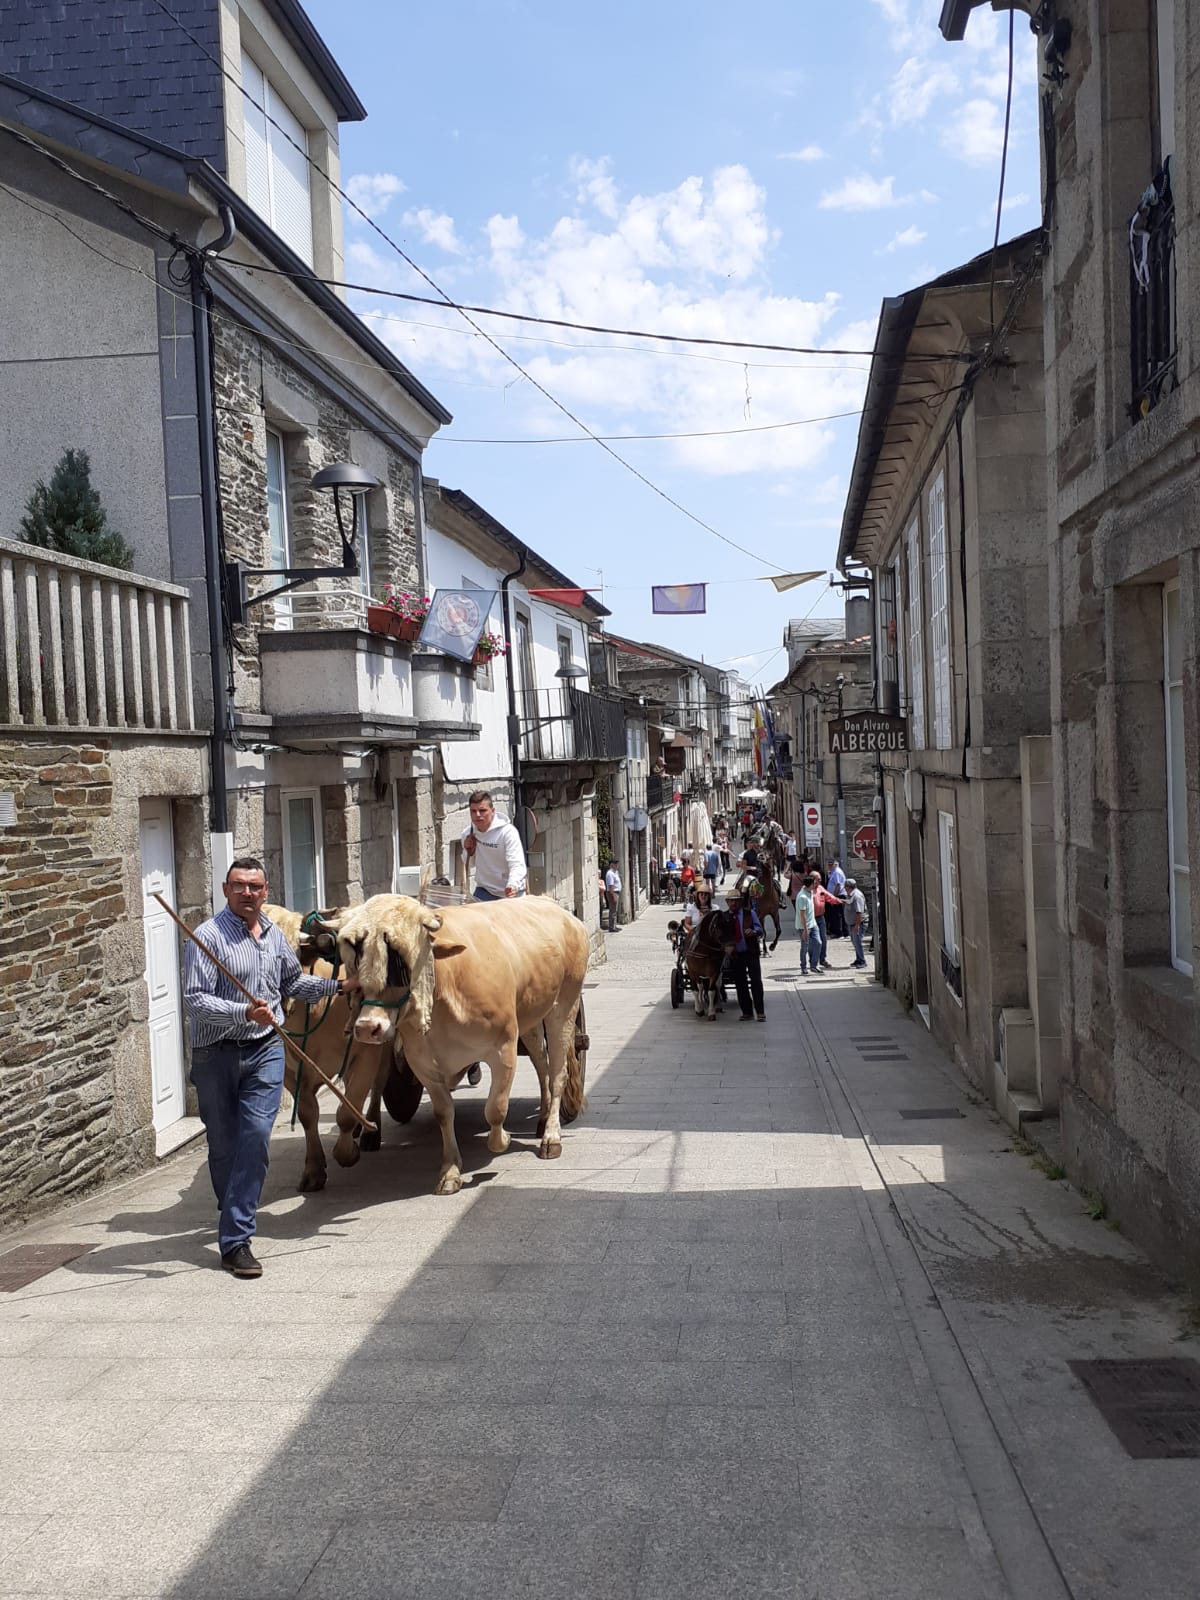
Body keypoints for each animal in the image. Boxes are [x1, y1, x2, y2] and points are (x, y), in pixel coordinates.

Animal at [336, 894, 590, 1195]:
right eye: (356, 963)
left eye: (399, 966)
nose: (366, 1027)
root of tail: (564, 913)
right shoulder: (423, 1064)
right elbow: (444, 1112)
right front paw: (450, 1171)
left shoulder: (503, 1048)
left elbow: (496, 1108)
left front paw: (502, 1140)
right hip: (531, 1018)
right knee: (542, 1064)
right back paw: (542, 1120)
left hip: (563, 1007)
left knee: (558, 1072)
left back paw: (551, 1136)